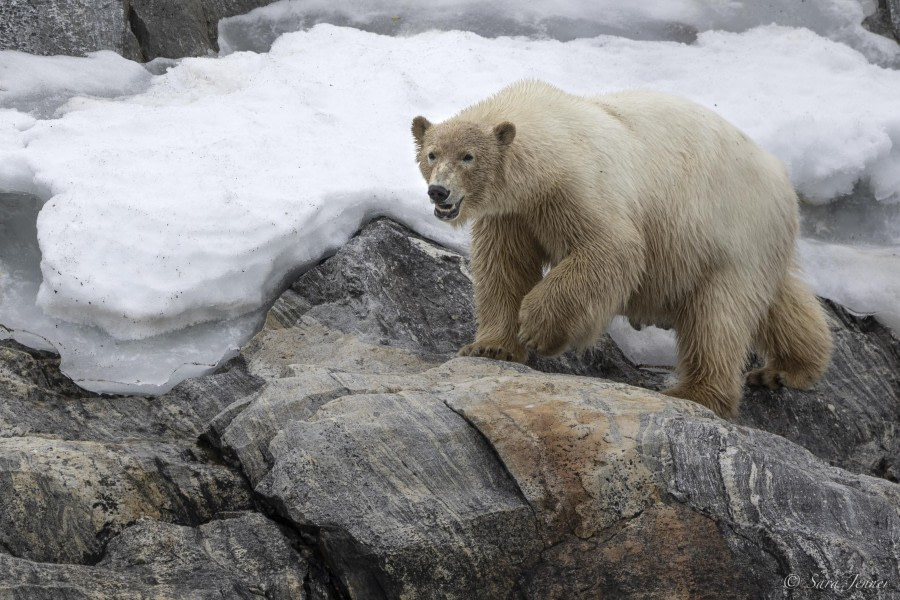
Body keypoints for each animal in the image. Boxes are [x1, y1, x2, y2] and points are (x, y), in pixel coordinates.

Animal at [408, 79, 828, 418]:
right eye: (432, 154)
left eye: (468, 156)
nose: (439, 191)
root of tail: (781, 177)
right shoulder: (513, 213)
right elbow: (504, 268)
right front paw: (491, 347)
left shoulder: (579, 187)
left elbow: (611, 248)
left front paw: (537, 330)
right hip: (752, 243)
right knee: (779, 302)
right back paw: (786, 369)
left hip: (731, 229)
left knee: (718, 317)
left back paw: (696, 392)